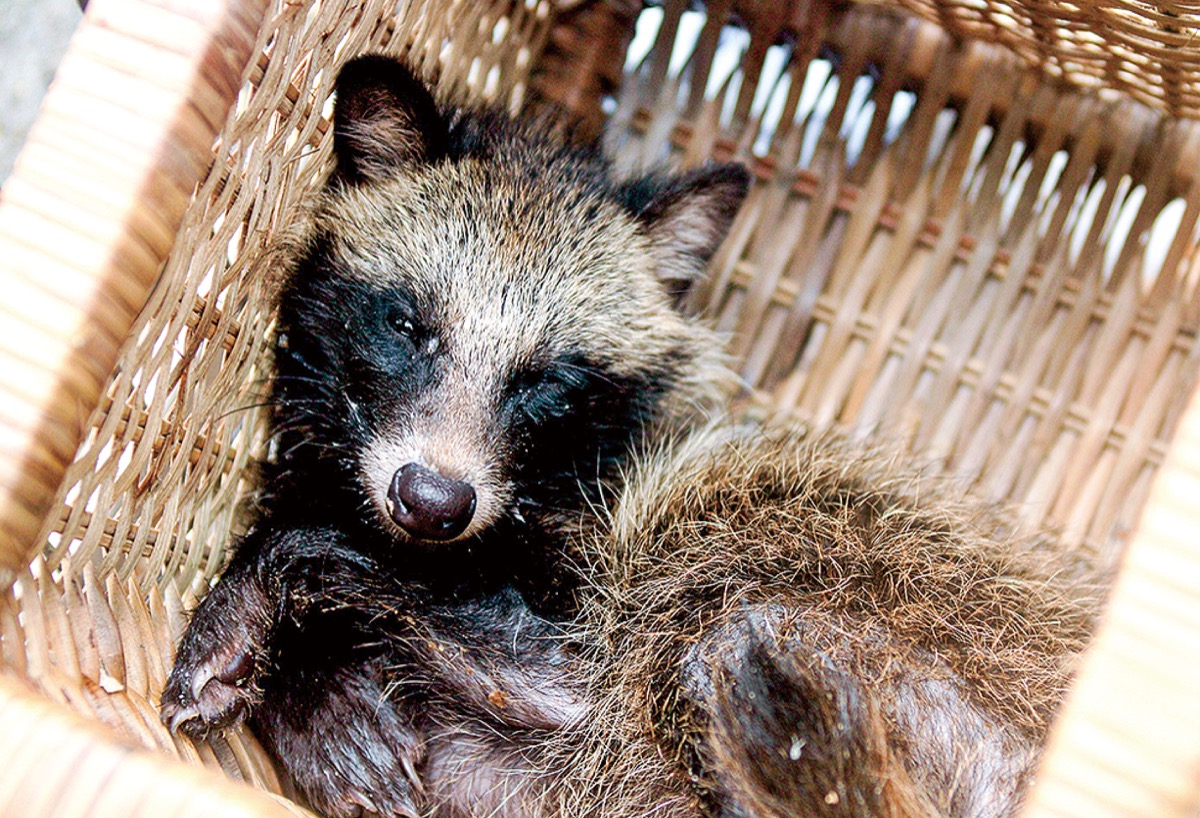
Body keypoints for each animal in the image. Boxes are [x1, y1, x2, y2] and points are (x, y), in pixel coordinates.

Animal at [164, 55, 1099, 815]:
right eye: (405, 325)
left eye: (546, 381)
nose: (431, 503)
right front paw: (309, 678)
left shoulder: (588, 553)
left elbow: (344, 552)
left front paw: (272, 596)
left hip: (795, 563)